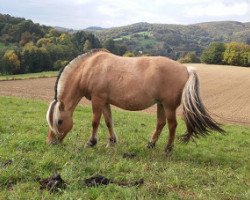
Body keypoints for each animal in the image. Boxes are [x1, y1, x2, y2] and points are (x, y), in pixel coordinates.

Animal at [46, 48, 224, 156]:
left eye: (59, 121)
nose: (51, 142)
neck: (89, 67)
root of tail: (185, 68)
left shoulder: (97, 100)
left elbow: (95, 122)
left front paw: (91, 142)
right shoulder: (105, 102)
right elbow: (108, 121)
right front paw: (111, 142)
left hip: (168, 106)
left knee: (172, 125)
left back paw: (167, 149)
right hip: (160, 104)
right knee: (161, 123)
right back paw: (150, 144)